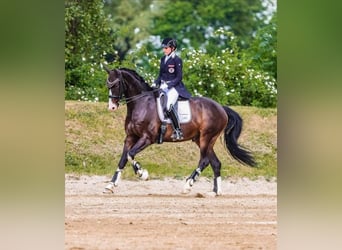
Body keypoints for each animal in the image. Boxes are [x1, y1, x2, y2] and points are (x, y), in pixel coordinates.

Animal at [103, 65, 255, 194]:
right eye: (107, 84)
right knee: (215, 163)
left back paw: (188, 184)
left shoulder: (147, 138)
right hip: (202, 140)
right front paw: (110, 185)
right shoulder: (130, 137)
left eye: (116, 84)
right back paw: (215, 192)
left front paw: (142, 174)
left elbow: (130, 154)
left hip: (207, 137)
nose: (112, 107)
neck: (142, 104)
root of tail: (221, 108)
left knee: (205, 160)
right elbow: (124, 158)